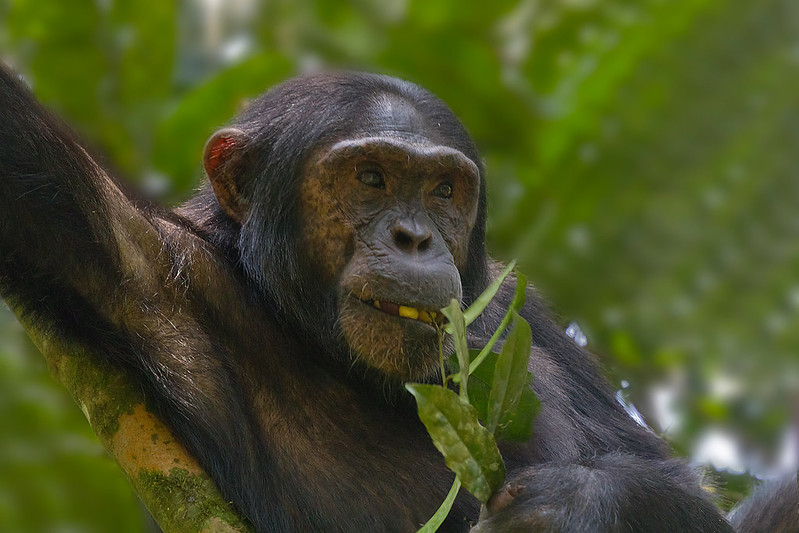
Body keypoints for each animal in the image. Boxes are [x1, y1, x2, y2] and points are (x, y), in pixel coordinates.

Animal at [0, 64, 792, 528]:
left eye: (442, 189)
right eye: (370, 178)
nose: (414, 237)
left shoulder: (519, 305)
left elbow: (678, 488)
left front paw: (575, 502)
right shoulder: (146, 269)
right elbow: (34, 182)